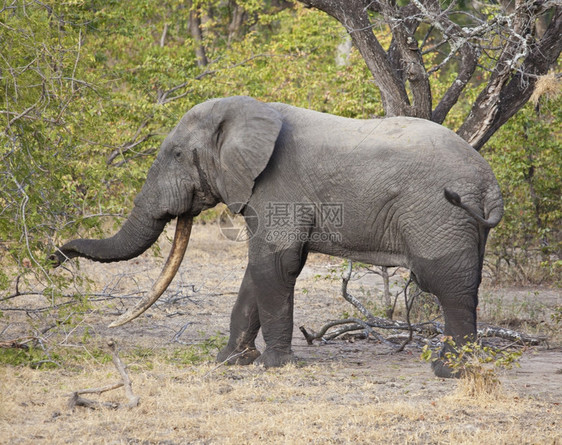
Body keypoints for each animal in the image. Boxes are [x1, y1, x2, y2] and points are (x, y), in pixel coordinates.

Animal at [51, 95, 498, 376]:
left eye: (177, 155)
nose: (55, 256)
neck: (248, 111)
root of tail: (489, 182)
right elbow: (259, 269)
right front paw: (229, 361)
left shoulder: (277, 187)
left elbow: (278, 264)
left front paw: (278, 366)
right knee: (463, 283)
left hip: (439, 213)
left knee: (447, 285)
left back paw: (448, 372)